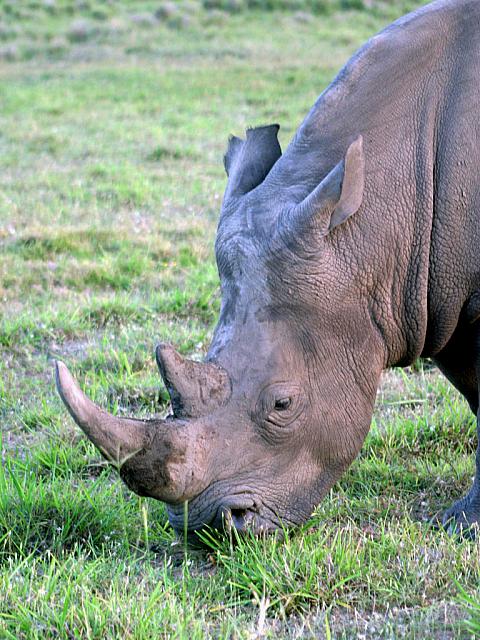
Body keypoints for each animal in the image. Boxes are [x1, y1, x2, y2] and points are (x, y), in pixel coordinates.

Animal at [56, 0, 480, 538]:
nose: (213, 529)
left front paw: (467, 525)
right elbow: (476, 392)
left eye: (283, 405)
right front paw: (466, 521)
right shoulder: (433, 294)